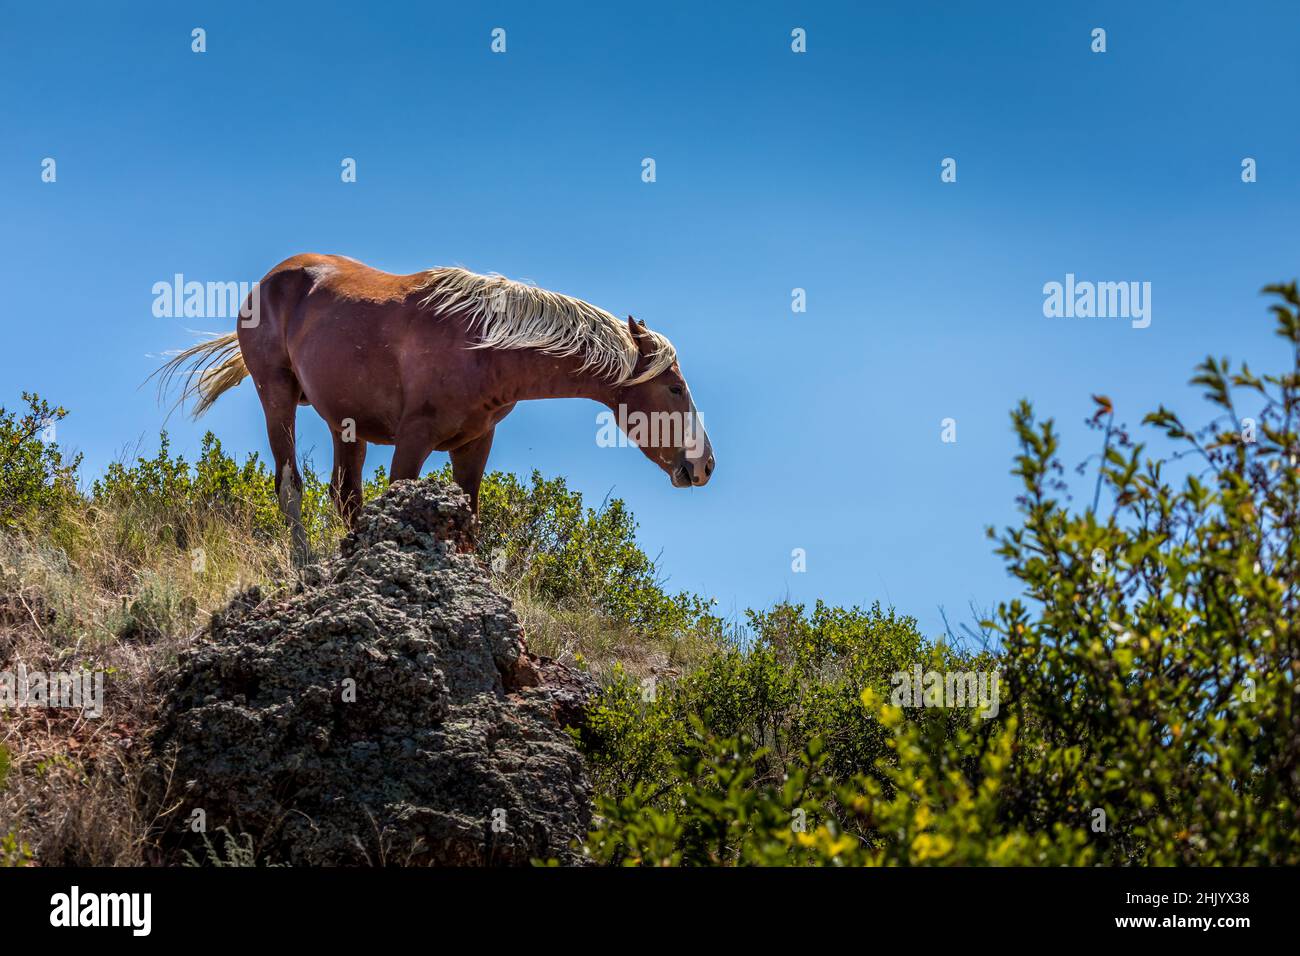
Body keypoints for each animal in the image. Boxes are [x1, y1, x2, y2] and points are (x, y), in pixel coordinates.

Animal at [158, 254, 715, 560]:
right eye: (675, 388)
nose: (704, 464)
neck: (484, 344)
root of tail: (275, 277)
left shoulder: (474, 443)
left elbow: (468, 519)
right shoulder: (414, 439)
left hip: (346, 426)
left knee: (344, 495)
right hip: (276, 396)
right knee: (289, 482)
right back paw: (303, 559)